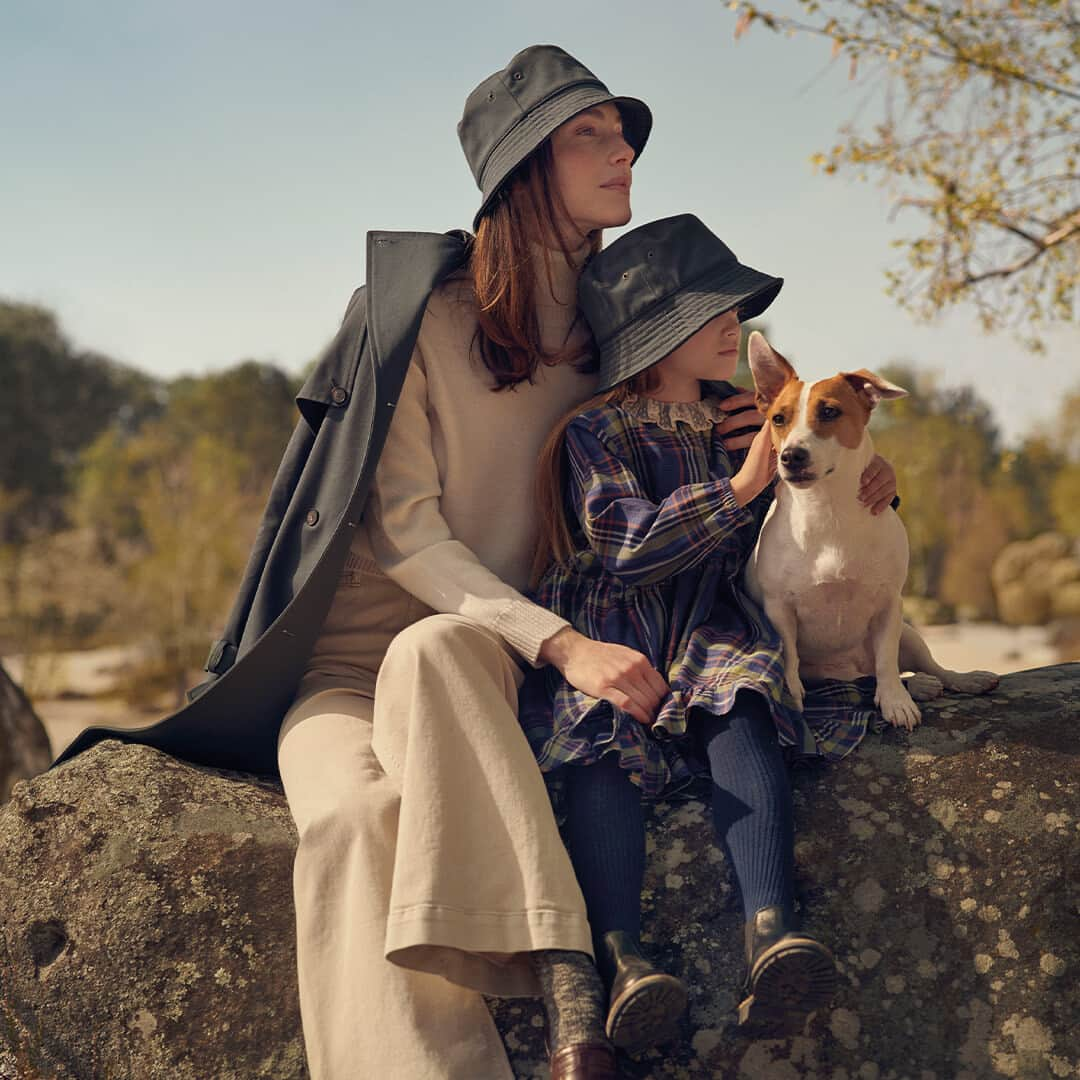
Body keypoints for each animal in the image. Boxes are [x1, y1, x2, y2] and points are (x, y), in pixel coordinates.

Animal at [743, 332, 993, 730]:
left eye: (829, 412)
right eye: (778, 419)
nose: (791, 456)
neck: (829, 510)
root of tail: (847, 672)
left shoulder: (889, 603)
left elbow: (886, 661)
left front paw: (896, 702)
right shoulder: (779, 609)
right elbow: (791, 658)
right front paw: (792, 697)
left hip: (910, 634)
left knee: (914, 667)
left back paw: (949, 681)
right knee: (864, 680)